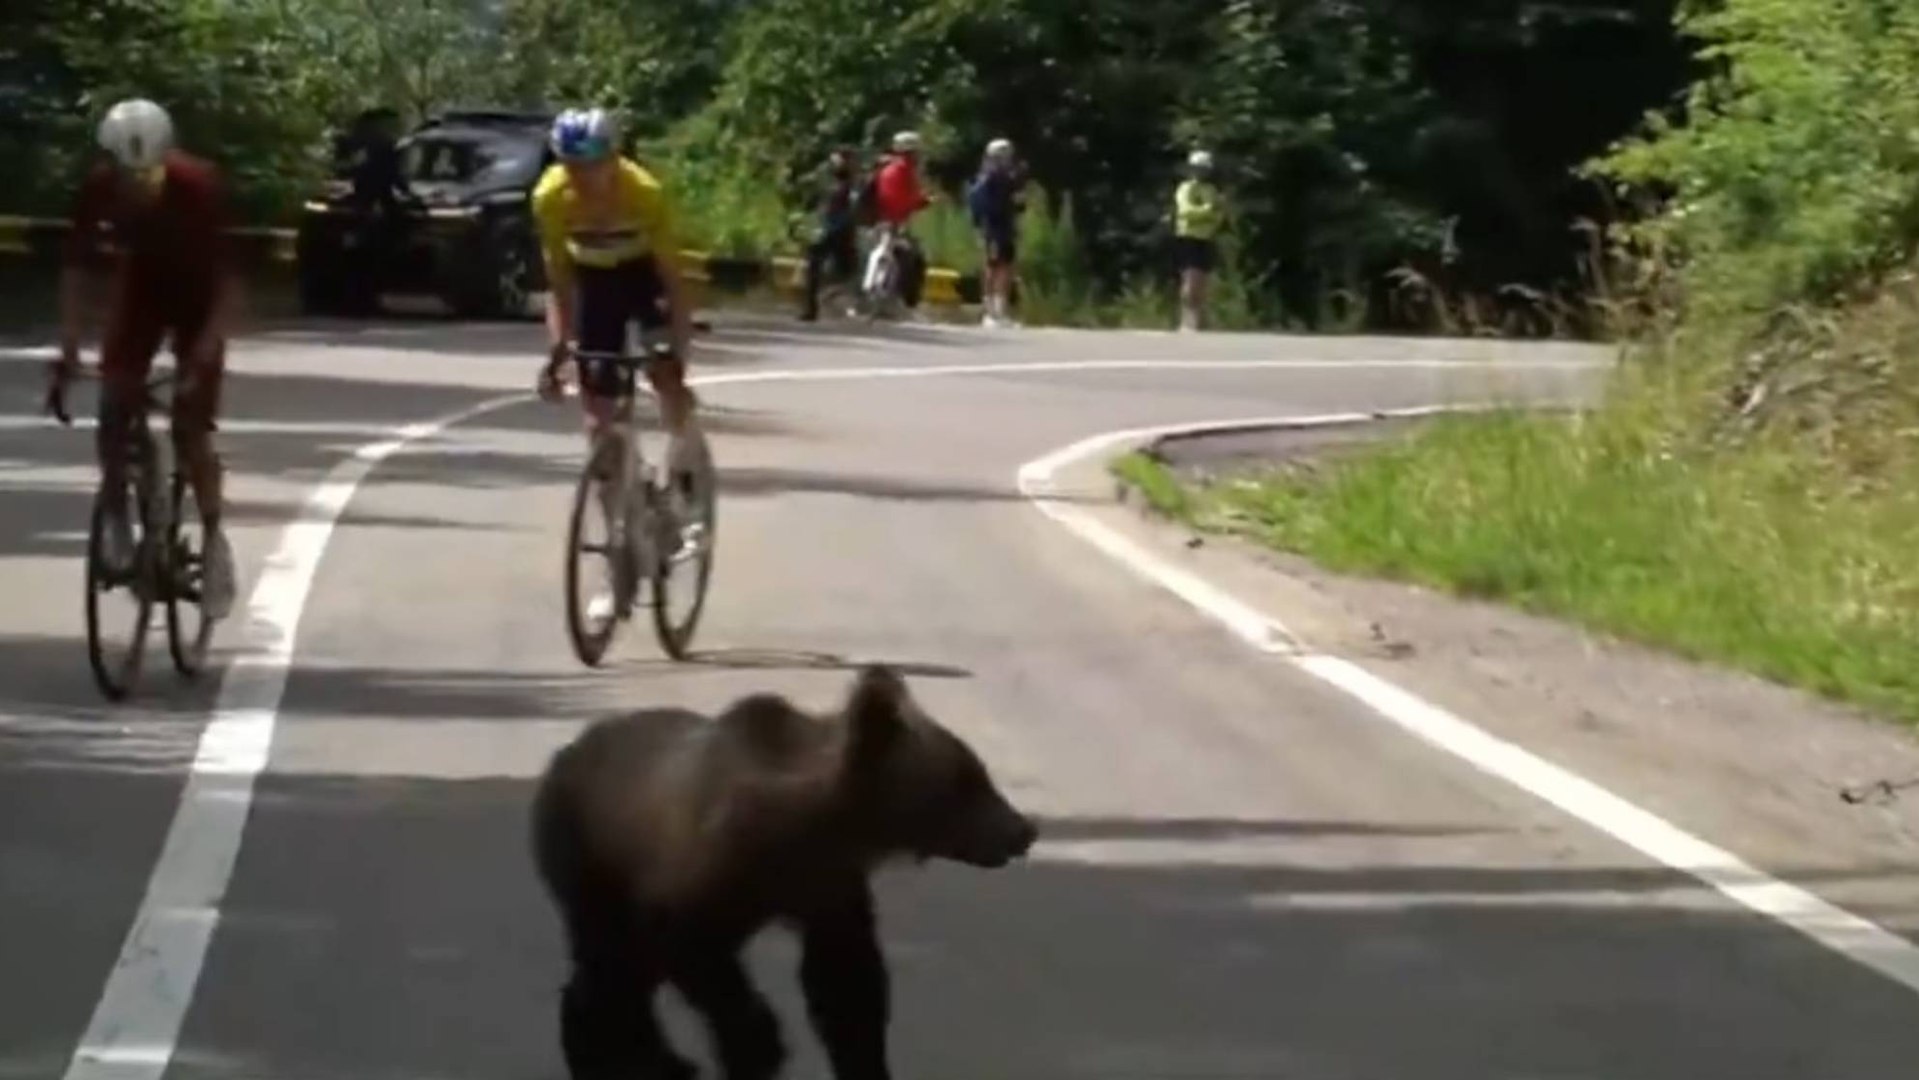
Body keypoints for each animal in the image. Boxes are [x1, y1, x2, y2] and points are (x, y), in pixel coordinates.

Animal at [529, 662, 1039, 1080]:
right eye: (967, 780)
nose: (1023, 830)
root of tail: (562, 754)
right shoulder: (711, 869)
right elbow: (693, 947)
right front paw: (759, 1047)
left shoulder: (827, 886)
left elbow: (846, 983)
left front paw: (863, 1060)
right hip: (592, 854)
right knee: (610, 958)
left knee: (622, 968)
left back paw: (652, 1057)